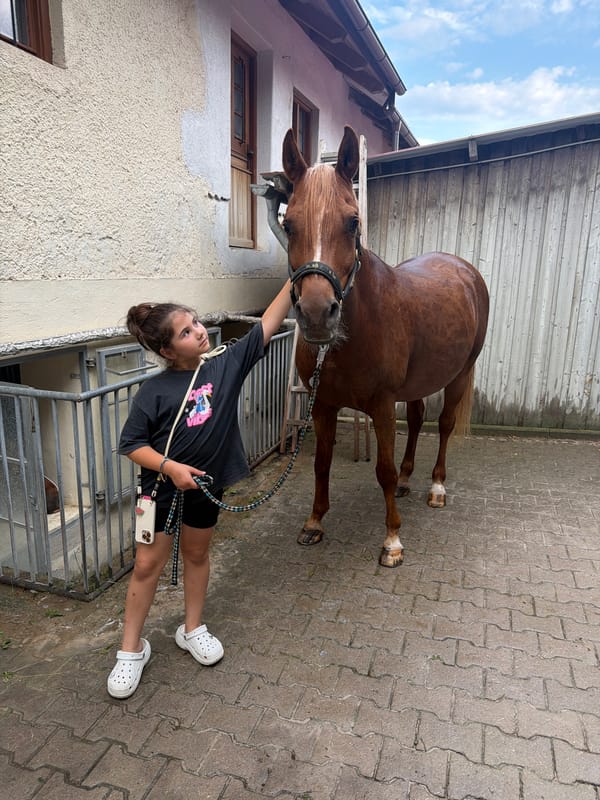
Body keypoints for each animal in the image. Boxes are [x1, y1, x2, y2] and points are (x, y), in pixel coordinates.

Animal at [282, 126, 490, 567]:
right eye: (288, 224)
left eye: (353, 222)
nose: (316, 314)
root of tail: (464, 269)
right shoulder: (323, 405)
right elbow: (322, 463)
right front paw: (314, 522)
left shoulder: (380, 405)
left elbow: (383, 470)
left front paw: (392, 540)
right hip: (419, 381)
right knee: (417, 419)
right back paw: (411, 479)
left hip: (459, 374)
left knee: (444, 425)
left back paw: (436, 488)